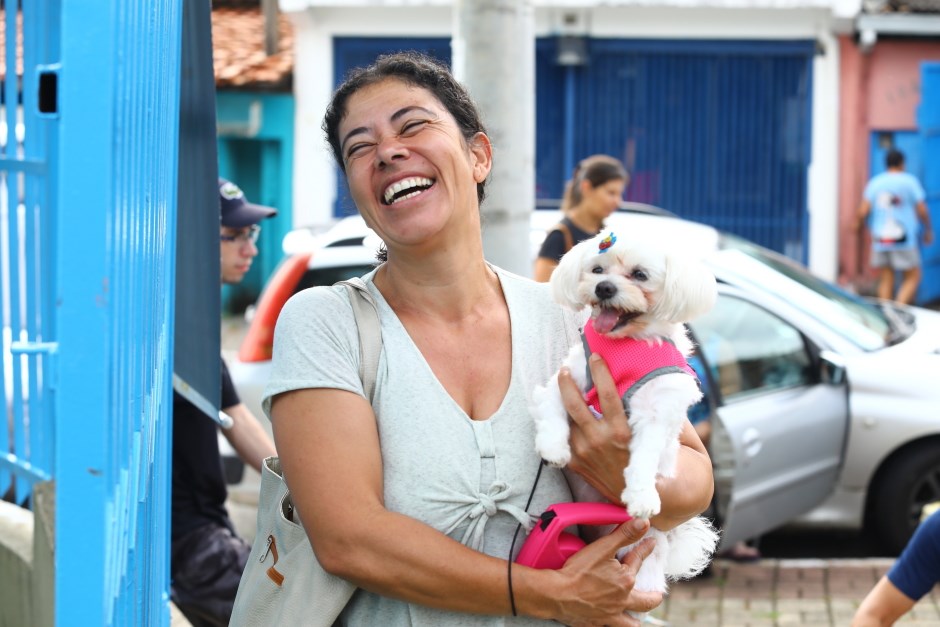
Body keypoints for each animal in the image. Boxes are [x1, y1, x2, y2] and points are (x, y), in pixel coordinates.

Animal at [536, 231, 720, 592]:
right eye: (597, 269)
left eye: (639, 275)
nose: (604, 287)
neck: (627, 343)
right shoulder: (572, 376)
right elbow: (552, 405)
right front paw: (553, 447)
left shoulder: (656, 413)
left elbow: (644, 458)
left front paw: (641, 496)